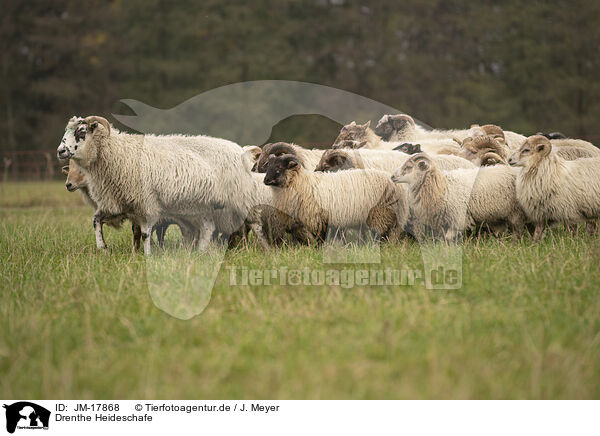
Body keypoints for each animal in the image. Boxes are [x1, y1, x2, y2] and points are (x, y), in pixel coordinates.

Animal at [56, 115, 268, 255]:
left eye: (81, 132)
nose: (60, 151)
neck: (118, 153)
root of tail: (242, 151)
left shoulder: (147, 204)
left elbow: (145, 234)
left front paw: (147, 256)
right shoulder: (117, 203)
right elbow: (96, 220)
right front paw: (103, 248)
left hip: (240, 199)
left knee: (255, 225)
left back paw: (266, 249)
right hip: (203, 208)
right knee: (208, 228)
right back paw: (199, 253)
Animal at [264, 153, 408, 244]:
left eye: (279, 167)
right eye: (268, 166)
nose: (266, 180)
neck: (300, 183)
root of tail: (395, 184)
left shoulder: (317, 219)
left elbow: (319, 241)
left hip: (380, 215)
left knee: (381, 236)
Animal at [392, 154, 524, 242]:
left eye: (409, 166)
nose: (392, 176)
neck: (441, 186)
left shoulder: (458, 217)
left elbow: (448, 237)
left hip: (516, 212)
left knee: (517, 229)